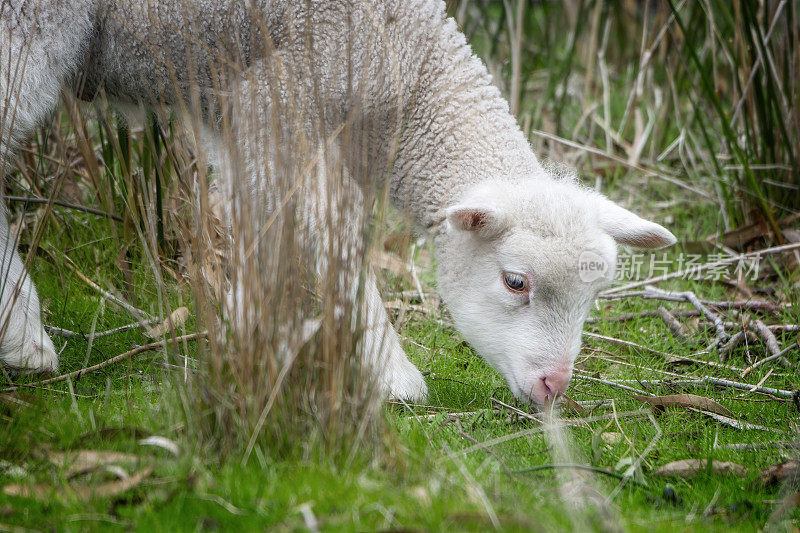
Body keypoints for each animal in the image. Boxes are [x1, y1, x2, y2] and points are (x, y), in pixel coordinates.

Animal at [0, 0, 676, 404]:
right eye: (516, 282)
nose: (553, 385)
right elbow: (331, 232)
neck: (407, 63)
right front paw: (389, 374)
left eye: (593, 295)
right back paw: (24, 341)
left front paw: (255, 334)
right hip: (29, 25)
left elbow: (263, 226)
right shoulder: (279, 97)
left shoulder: (238, 108)